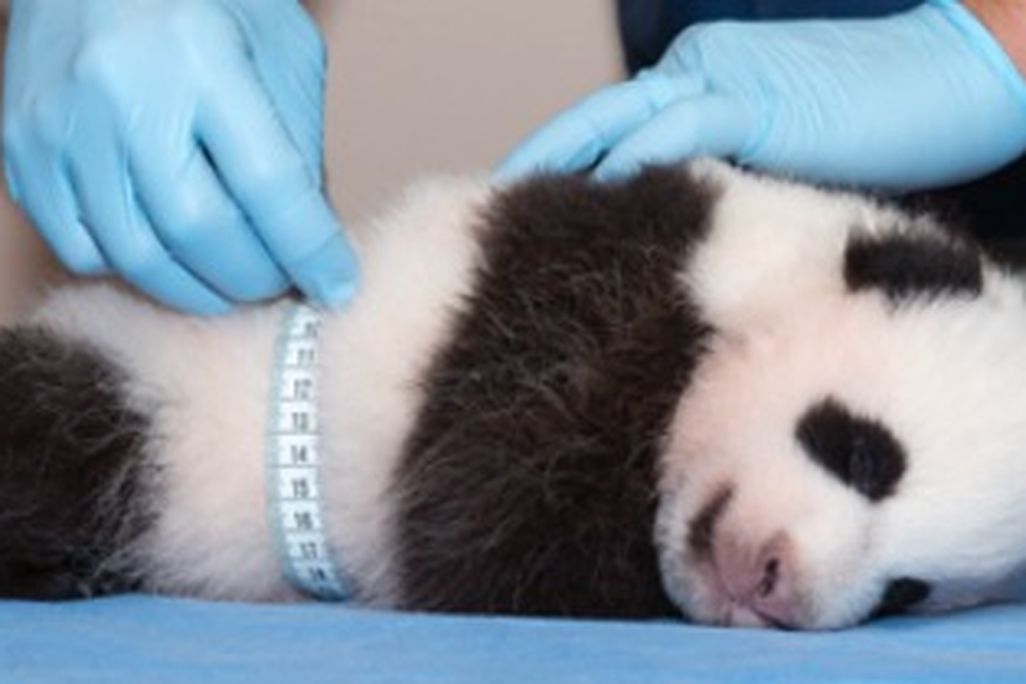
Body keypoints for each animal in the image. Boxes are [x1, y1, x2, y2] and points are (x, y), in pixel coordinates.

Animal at [2, 159, 1025, 631]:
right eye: (861, 451)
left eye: (906, 590)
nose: (773, 582)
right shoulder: (573, 290)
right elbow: (480, 521)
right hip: (145, 392)